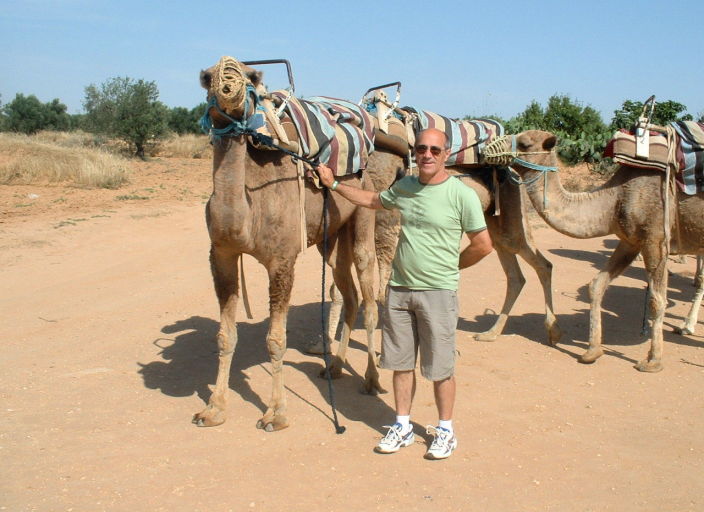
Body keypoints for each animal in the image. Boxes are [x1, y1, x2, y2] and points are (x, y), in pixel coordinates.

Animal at [492, 130, 704, 370]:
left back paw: (687, 328)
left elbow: (657, 300)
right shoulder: (629, 241)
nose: (489, 149)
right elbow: (596, 285)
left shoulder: (654, 238)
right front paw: (592, 351)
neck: (616, 198)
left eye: (525, 143)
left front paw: (653, 360)